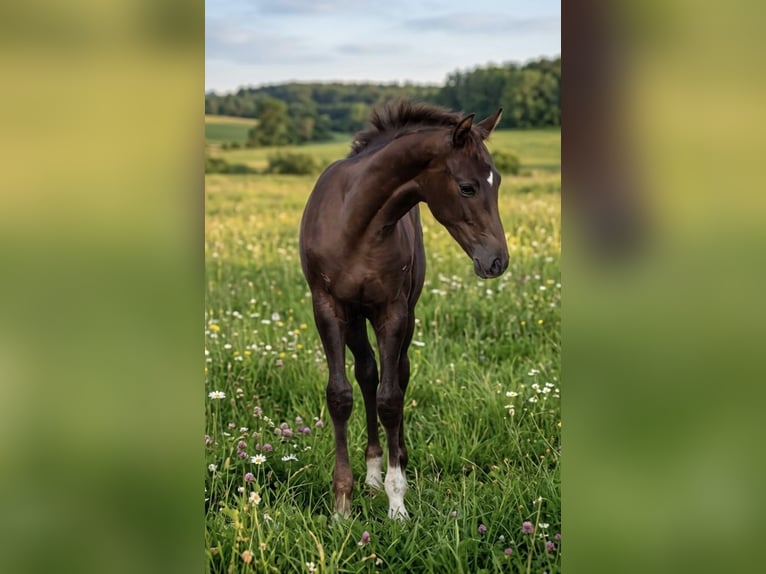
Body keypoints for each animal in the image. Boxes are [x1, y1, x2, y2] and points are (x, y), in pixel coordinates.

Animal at [299, 100, 508, 519]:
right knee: (367, 374)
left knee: (399, 374)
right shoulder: (328, 308)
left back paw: (396, 463)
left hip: (404, 315)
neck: (356, 225)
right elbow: (340, 395)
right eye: (467, 186)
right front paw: (342, 504)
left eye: (497, 183)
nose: (497, 261)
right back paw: (372, 472)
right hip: (355, 318)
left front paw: (397, 501)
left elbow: (391, 398)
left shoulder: (392, 310)